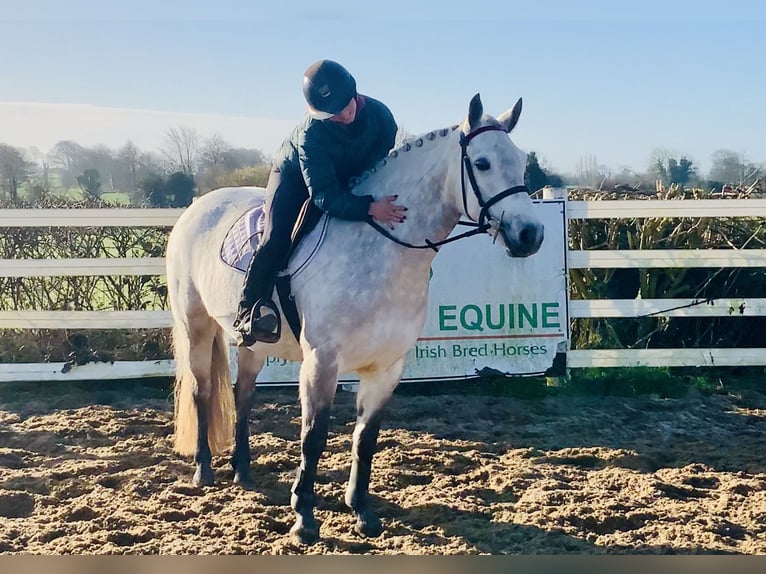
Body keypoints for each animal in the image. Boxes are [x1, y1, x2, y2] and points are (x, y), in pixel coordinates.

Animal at [166, 93, 545, 544]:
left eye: (520, 161)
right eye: (482, 163)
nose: (530, 235)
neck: (381, 251)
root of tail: (197, 208)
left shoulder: (387, 368)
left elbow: (366, 438)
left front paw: (362, 510)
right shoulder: (322, 363)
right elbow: (313, 437)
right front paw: (304, 517)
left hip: (253, 343)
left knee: (244, 394)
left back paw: (242, 470)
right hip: (196, 326)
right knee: (202, 392)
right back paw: (203, 469)